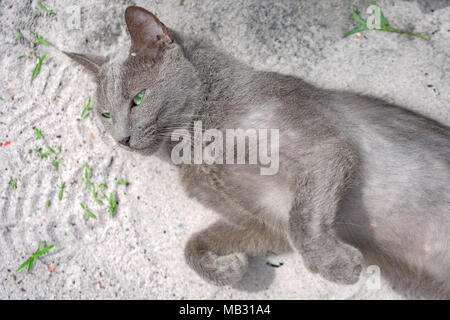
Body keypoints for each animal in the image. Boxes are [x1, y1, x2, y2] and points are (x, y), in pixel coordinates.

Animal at [64, 6, 450, 298]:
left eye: (139, 99)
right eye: (105, 114)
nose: (121, 138)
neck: (194, 147)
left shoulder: (323, 149)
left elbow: (301, 220)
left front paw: (338, 266)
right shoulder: (262, 221)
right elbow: (193, 247)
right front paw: (228, 268)